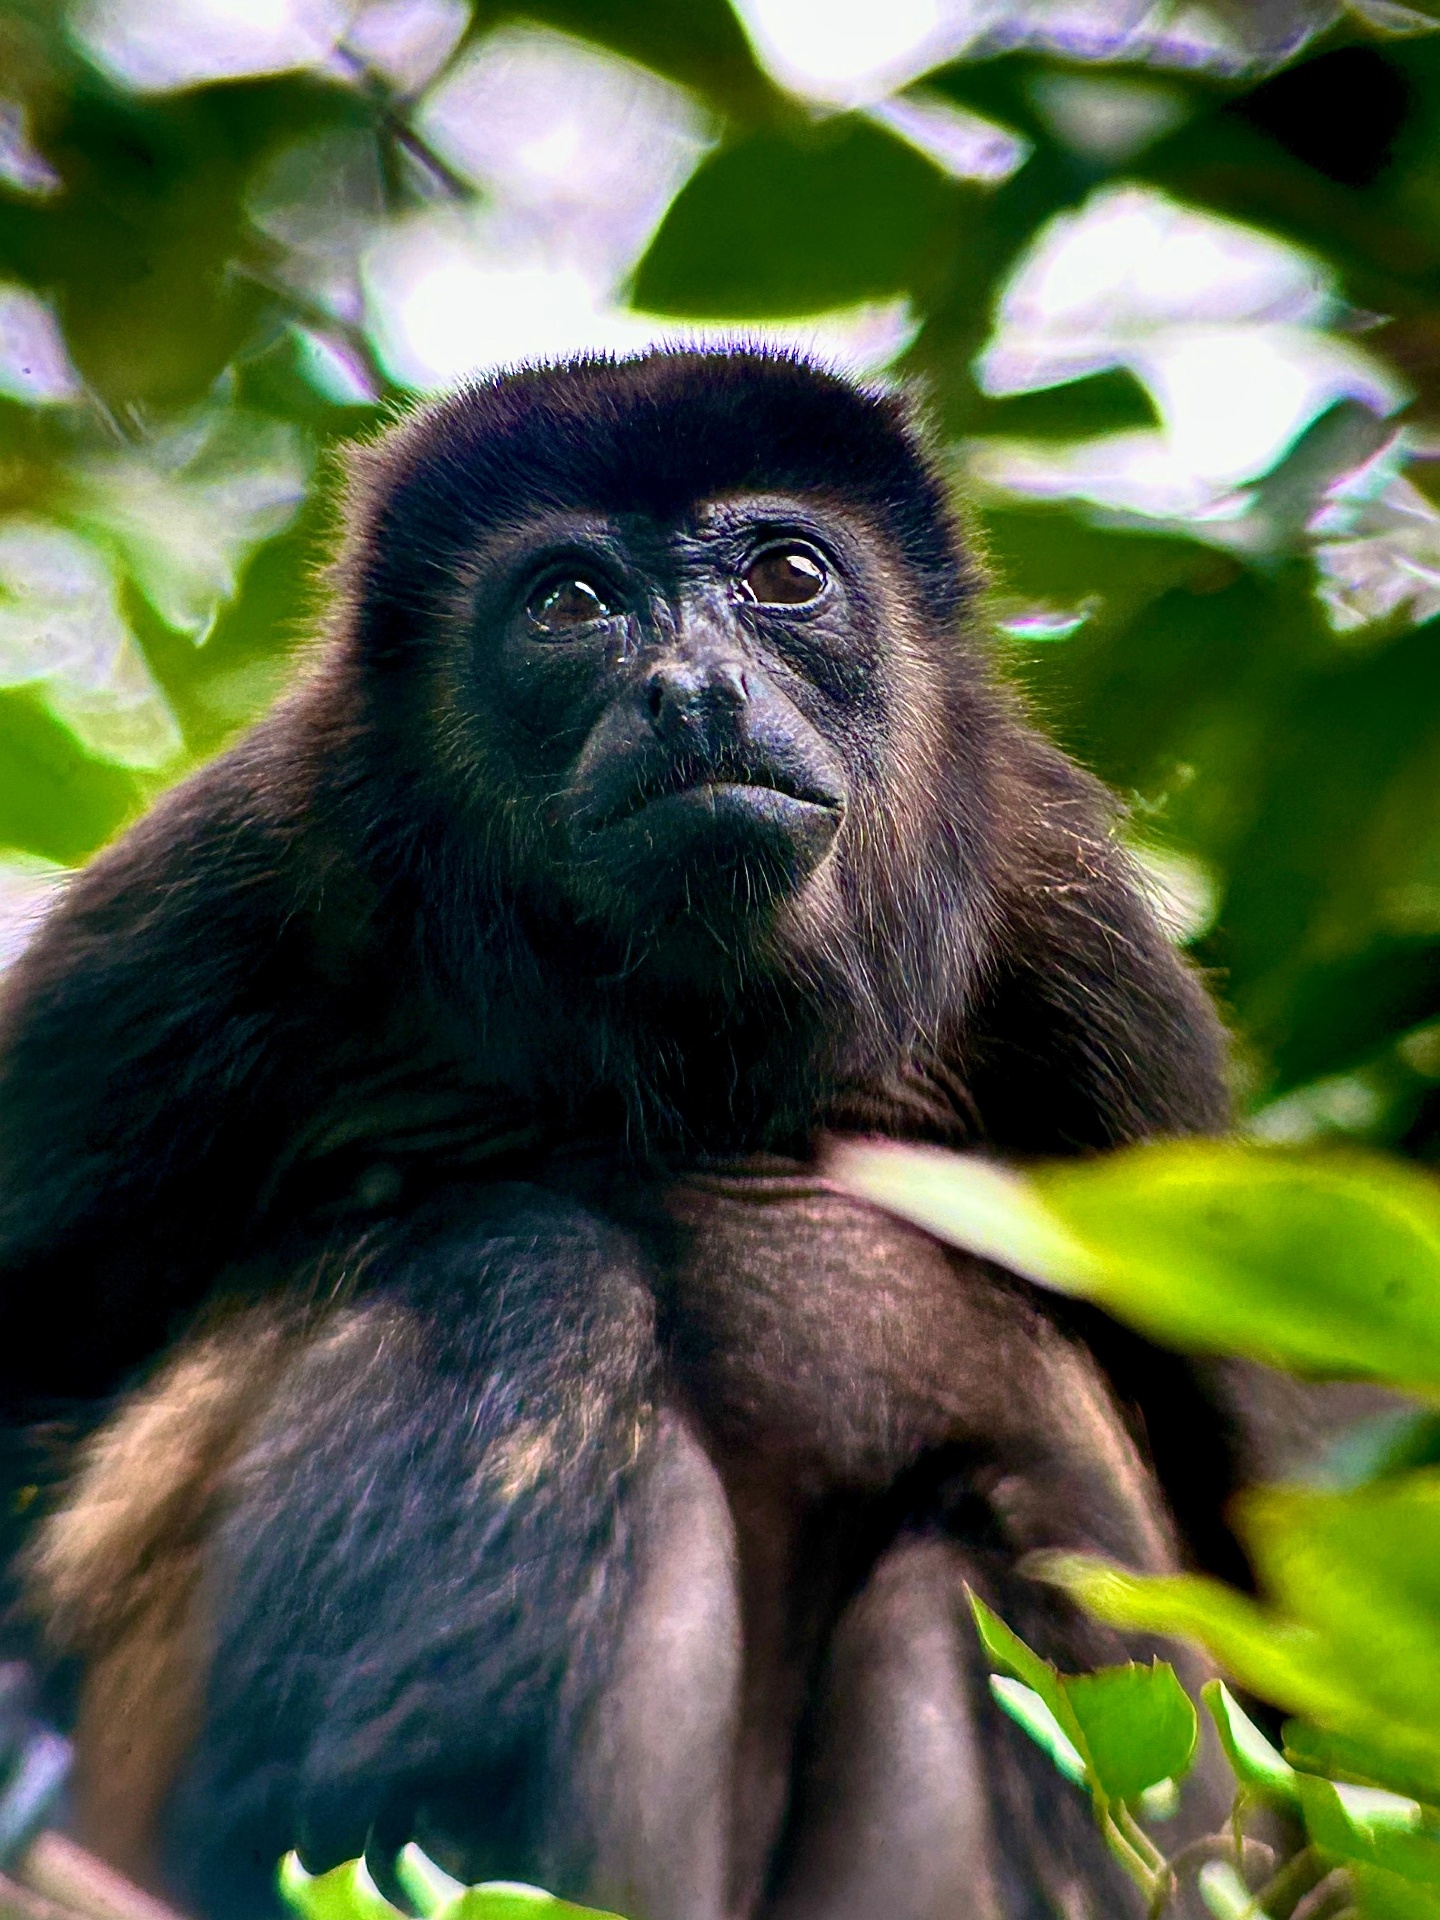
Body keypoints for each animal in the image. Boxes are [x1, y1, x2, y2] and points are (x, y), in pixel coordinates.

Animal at [0, 347, 1240, 1920]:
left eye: (786, 576)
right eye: (571, 603)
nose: (696, 691)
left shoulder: (1086, 945)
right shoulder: (221, 888)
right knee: (526, 1277)